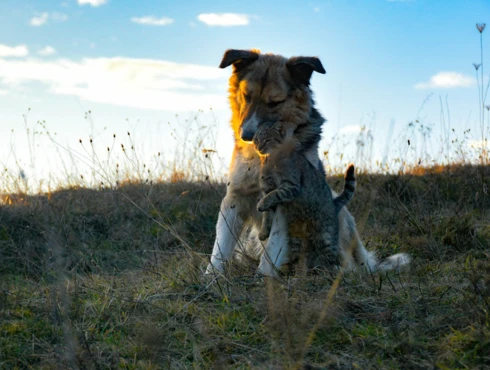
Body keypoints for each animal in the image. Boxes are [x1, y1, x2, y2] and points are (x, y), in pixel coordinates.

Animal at [204, 48, 410, 274]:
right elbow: (221, 247)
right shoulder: (236, 196)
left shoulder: (285, 200)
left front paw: (264, 277)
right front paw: (212, 277)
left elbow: (272, 247)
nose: (247, 136)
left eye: (275, 102)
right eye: (246, 96)